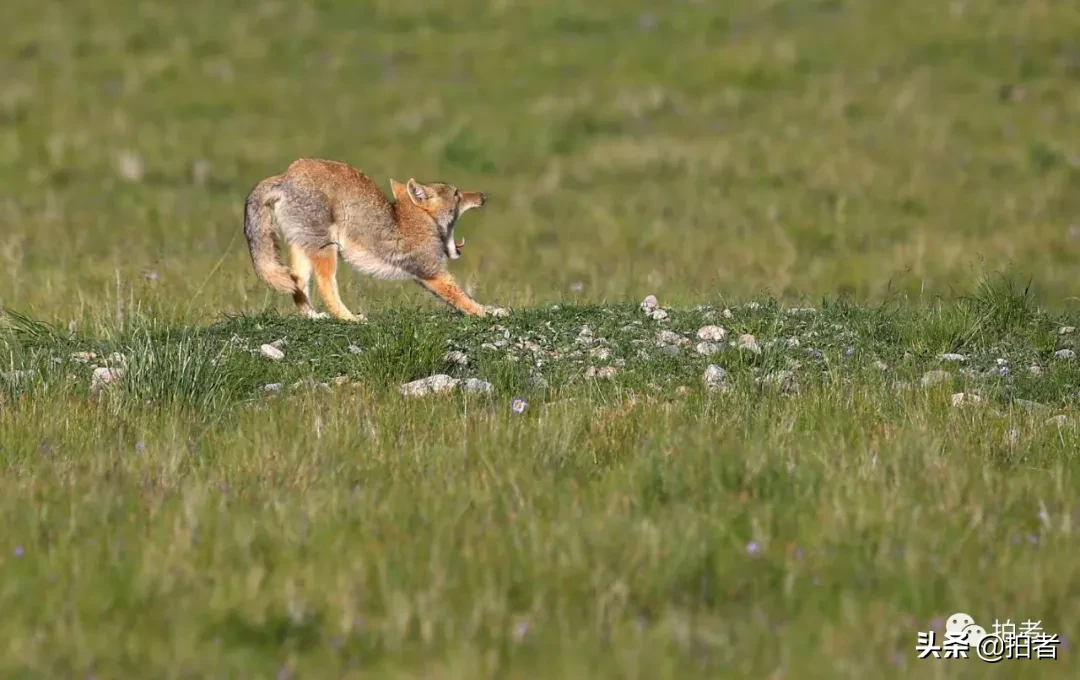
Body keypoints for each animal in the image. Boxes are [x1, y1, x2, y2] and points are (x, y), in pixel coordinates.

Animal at [243, 158, 503, 321]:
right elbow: (465, 300)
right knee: (327, 289)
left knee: (298, 287)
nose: (483, 196)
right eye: (457, 195)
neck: (416, 220)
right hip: (327, 251)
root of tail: (286, 175)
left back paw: (314, 317)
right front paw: (490, 313)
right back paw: (348, 318)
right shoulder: (432, 273)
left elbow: (463, 299)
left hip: (303, 251)